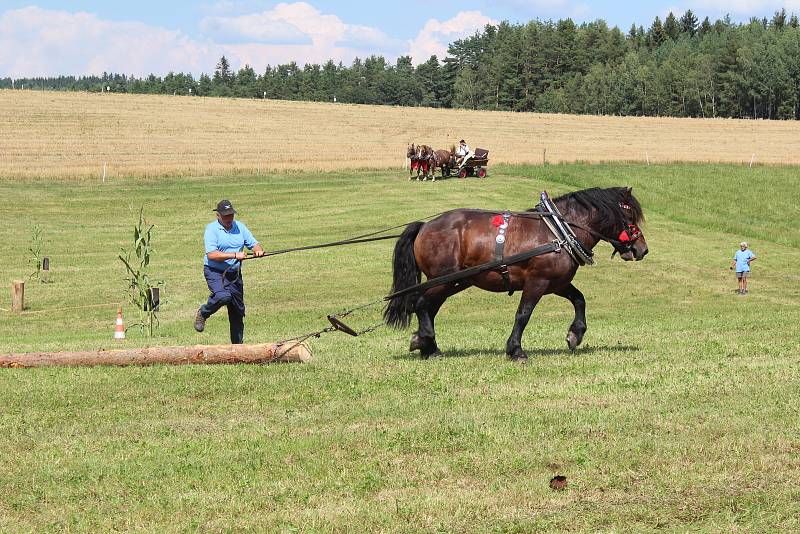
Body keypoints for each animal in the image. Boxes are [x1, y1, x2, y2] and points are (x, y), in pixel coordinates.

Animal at [382, 186, 648, 362]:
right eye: (629, 215)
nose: (642, 249)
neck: (559, 232)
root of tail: (425, 226)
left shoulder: (557, 283)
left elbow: (579, 300)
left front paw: (575, 334)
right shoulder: (537, 281)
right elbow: (523, 314)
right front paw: (515, 350)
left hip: (448, 283)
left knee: (428, 308)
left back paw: (428, 346)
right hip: (443, 281)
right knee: (420, 304)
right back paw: (425, 342)